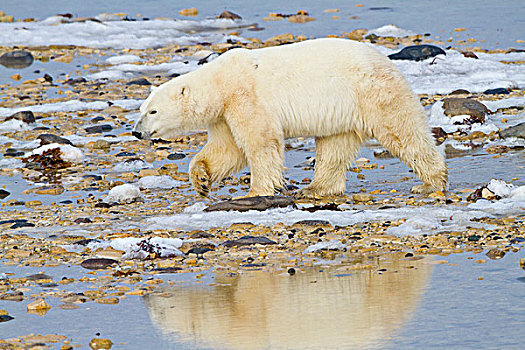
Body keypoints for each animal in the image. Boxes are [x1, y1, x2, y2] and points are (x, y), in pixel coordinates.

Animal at [132, 39, 446, 197]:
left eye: (153, 111)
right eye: (141, 110)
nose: (136, 132)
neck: (220, 82)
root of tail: (386, 61)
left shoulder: (245, 95)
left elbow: (260, 141)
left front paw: (256, 191)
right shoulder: (223, 114)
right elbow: (226, 149)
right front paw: (201, 180)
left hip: (373, 93)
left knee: (403, 132)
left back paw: (430, 181)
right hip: (342, 109)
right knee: (334, 146)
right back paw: (316, 188)